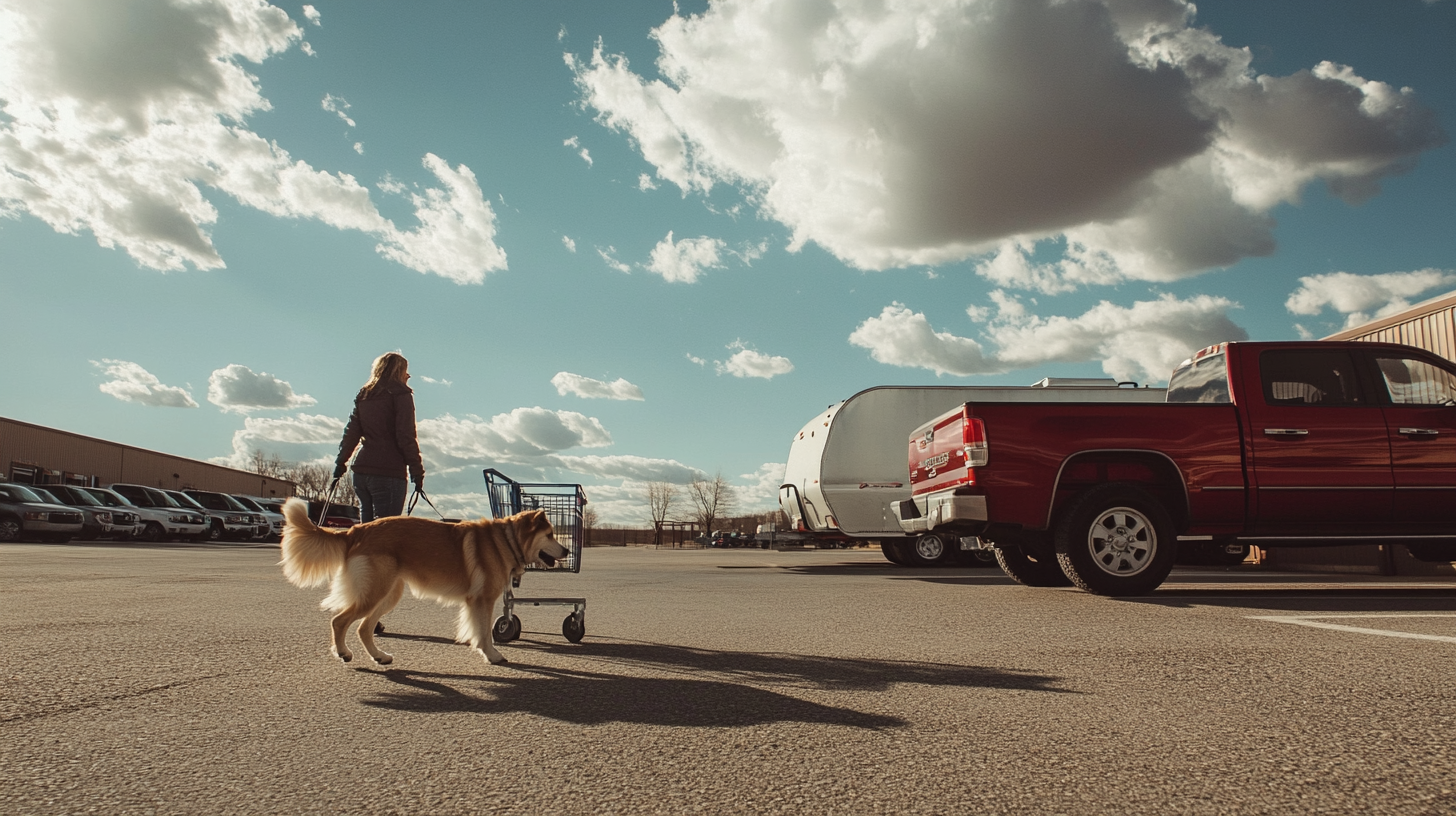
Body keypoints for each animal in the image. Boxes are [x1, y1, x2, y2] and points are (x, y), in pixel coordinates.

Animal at [278, 495, 567, 667]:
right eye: (550, 535)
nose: (566, 551)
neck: (506, 541)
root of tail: (355, 530)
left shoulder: (475, 602)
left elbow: (478, 630)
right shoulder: (482, 600)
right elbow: (484, 633)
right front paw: (492, 655)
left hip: (388, 595)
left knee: (363, 628)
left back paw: (379, 656)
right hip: (374, 593)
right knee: (339, 621)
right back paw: (343, 653)